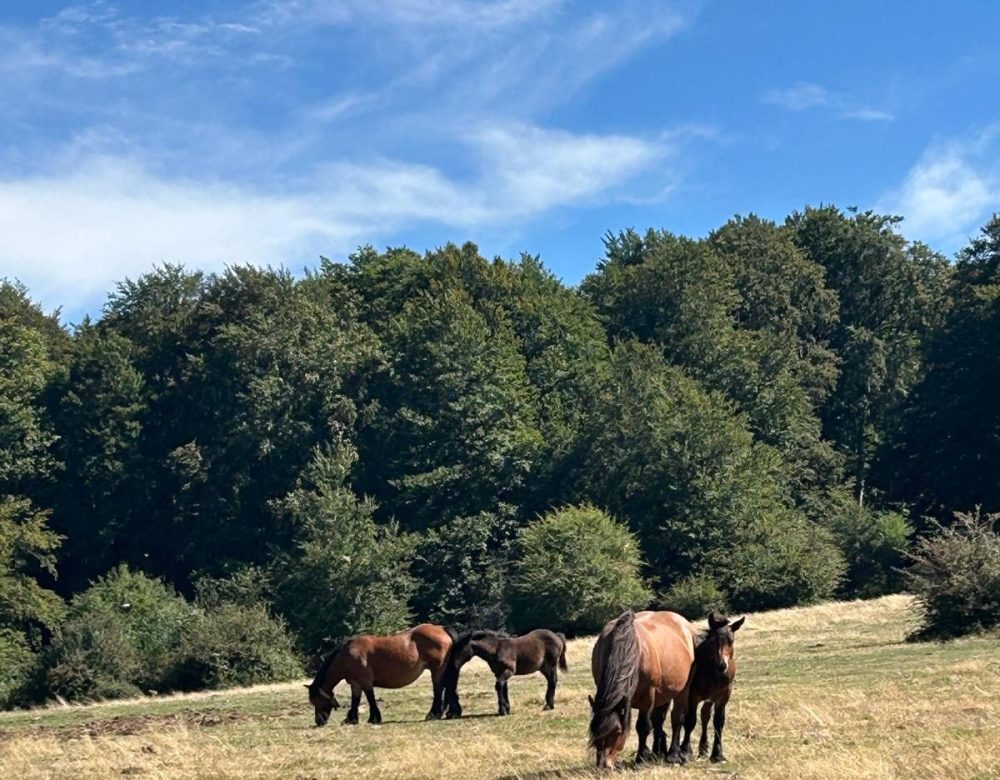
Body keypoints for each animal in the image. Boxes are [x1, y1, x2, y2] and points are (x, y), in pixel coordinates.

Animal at [306, 623, 457, 726]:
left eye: (317, 701)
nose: (319, 721)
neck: (348, 655)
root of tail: (441, 628)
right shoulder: (355, 684)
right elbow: (355, 701)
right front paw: (351, 719)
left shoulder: (366, 682)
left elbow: (370, 699)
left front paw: (374, 718)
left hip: (436, 670)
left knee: (437, 690)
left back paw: (433, 714)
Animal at [588, 609, 696, 769]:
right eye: (593, 731)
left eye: (618, 732)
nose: (603, 765)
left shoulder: (648, 696)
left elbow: (643, 726)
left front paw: (640, 759)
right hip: (663, 694)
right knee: (659, 720)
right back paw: (658, 752)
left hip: (683, 690)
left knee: (677, 717)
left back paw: (674, 754)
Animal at [680, 612, 745, 762]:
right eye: (713, 641)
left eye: (731, 641)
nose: (722, 665)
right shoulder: (693, 696)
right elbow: (690, 720)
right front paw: (686, 751)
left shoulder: (723, 696)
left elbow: (718, 722)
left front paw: (718, 754)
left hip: (710, 699)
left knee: (705, 715)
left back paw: (703, 748)